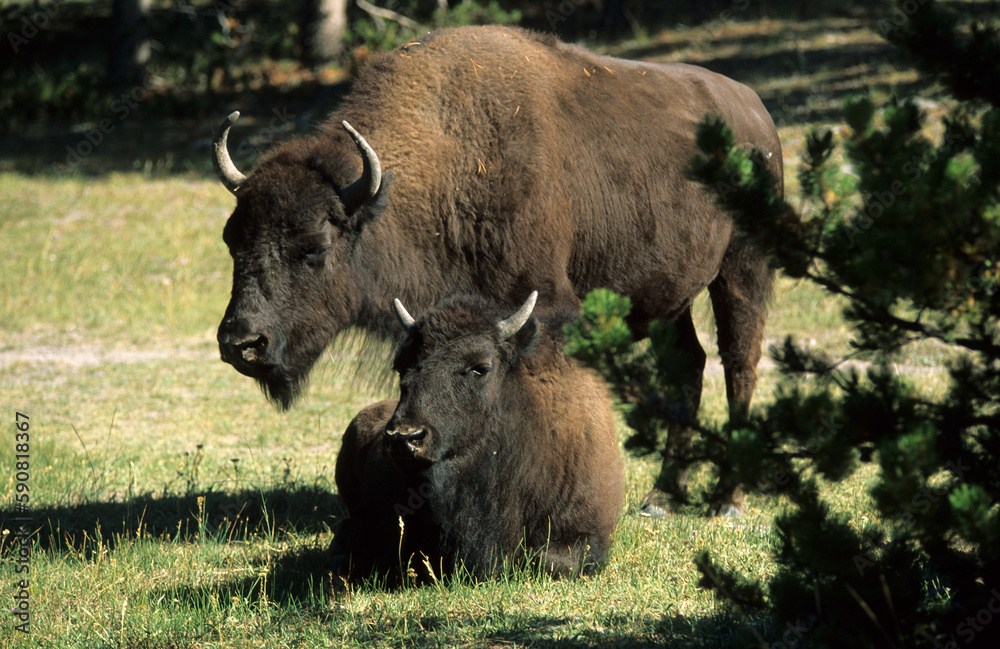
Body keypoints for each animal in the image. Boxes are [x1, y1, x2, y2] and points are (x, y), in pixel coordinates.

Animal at [215, 25, 784, 512]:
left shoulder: (544, 309)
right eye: (231, 239)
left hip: (743, 269)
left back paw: (727, 499)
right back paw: (661, 497)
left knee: (739, 361)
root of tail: (757, 112)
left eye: (313, 246)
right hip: (669, 297)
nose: (241, 343)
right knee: (690, 365)